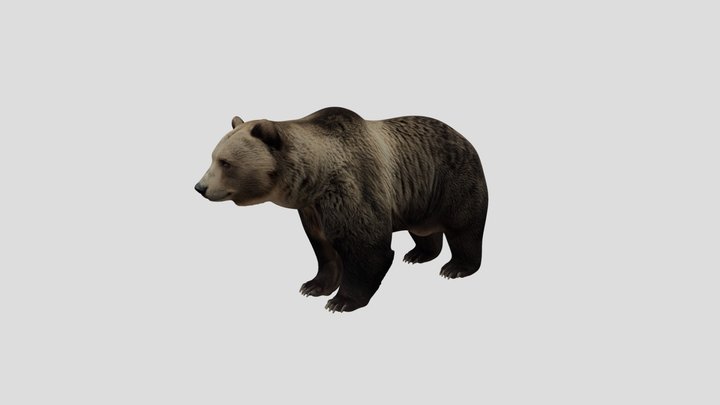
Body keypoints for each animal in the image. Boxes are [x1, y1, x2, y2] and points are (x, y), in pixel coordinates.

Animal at [195, 107, 488, 312]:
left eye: (226, 163)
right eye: (213, 157)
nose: (200, 187)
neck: (314, 180)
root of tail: (463, 136)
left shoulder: (352, 187)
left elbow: (368, 247)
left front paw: (341, 301)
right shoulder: (312, 209)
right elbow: (324, 249)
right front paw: (312, 286)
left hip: (450, 180)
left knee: (464, 228)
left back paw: (455, 267)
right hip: (419, 197)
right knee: (423, 230)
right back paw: (418, 254)